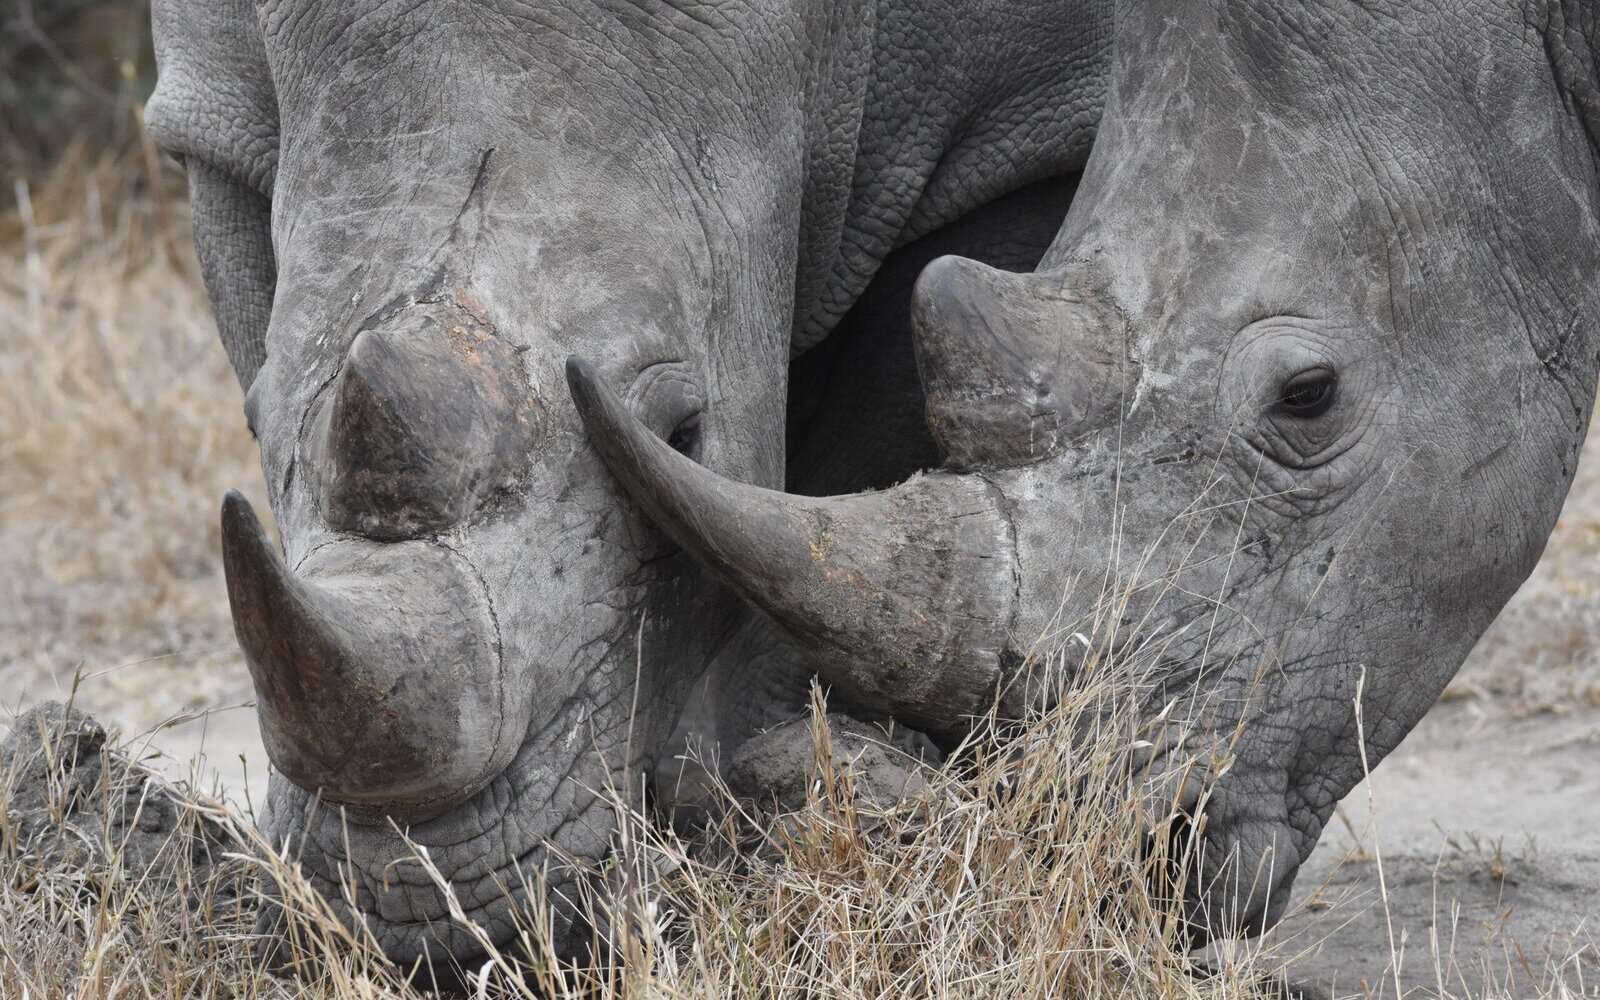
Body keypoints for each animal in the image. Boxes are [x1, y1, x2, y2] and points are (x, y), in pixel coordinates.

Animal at [146, 0, 1110, 964]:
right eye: (253, 421)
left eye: (682, 432)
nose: (428, 924)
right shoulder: (210, 120)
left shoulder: (1020, 127)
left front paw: (775, 782)